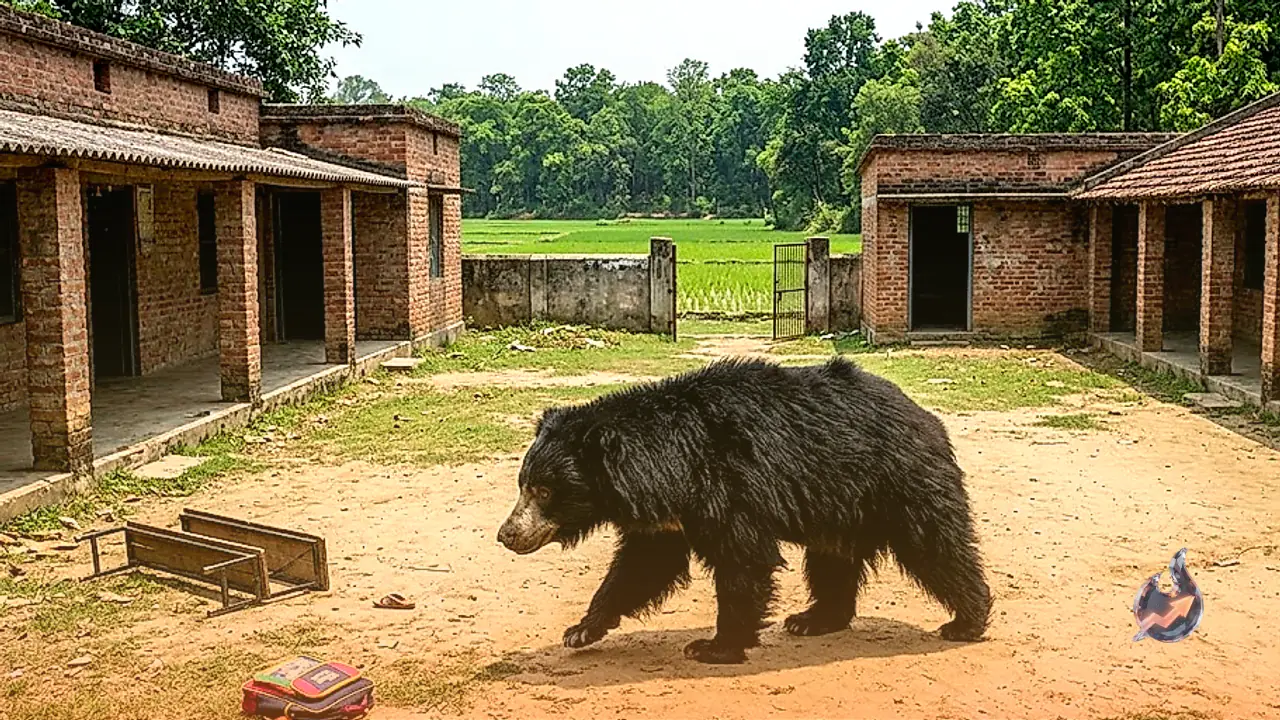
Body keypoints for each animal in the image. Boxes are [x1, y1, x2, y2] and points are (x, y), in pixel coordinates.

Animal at [496, 356, 991, 665]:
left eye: (544, 490)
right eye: (523, 485)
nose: (506, 535)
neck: (668, 465)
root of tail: (927, 417)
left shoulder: (729, 488)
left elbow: (743, 559)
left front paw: (714, 647)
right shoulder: (668, 516)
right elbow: (643, 566)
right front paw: (581, 630)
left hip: (899, 482)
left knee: (936, 547)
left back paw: (965, 622)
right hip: (840, 503)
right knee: (832, 559)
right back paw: (812, 621)